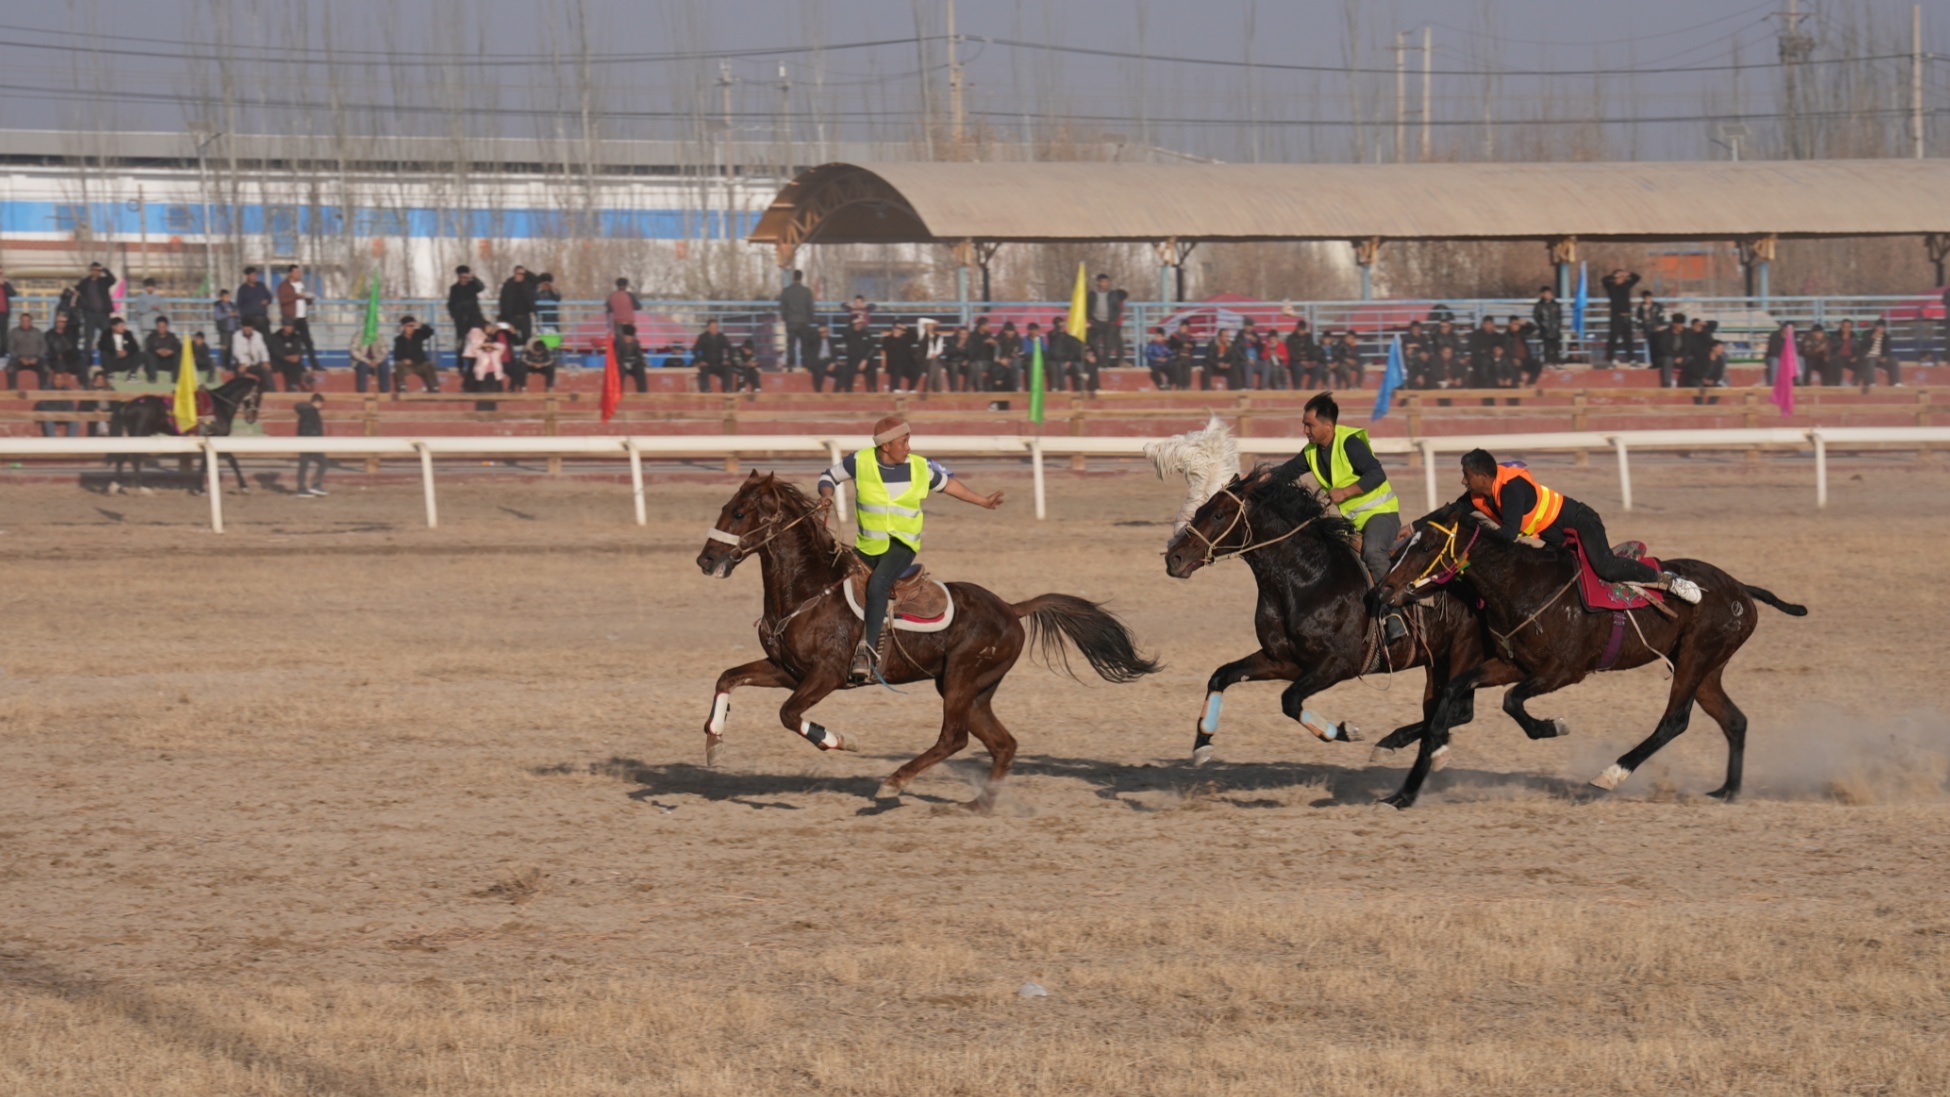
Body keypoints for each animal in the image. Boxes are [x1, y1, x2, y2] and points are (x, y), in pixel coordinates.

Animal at [106, 378, 261, 498]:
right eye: (258, 395)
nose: (252, 418)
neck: (219, 406)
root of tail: (127, 404)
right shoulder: (216, 437)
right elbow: (229, 461)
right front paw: (243, 487)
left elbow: (213, 462)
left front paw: (199, 489)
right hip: (139, 434)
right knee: (135, 458)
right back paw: (143, 488)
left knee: (124, 456)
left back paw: (115, 485)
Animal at [694, 471, 1154, 814]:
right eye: (723, 508)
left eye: (740, 512)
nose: (705, 559)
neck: (809, 590)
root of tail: (1010, 607)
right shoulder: (787, 671)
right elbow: (727, 678)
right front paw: (714, 742)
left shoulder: (825, 675)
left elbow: (789, 715)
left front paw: (838, 740)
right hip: (974, 689)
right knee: (1002, 744)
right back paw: (977, 805)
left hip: (961, 680)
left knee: (954, 738)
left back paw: (893, 782)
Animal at [1162, 469, 1528, 771]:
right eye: (1200, 510)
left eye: (1219, 514)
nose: (1174, 558)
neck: (1308, 579)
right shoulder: (1282, 661)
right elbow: (1221, 676)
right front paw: (1201, 744)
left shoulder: (1338, 664)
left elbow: (1290, 700)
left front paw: (1343, 731)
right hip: (1435, 660)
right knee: (1441, 709)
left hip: (1463, 653)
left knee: (1458, 710)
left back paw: (1394, 744)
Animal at [1380, 502, 1801, 810]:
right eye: (1405, 543)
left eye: (1425, 547)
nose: (1383, 589)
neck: (1523, 586)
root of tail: (1740, 590)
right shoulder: (1512, 664)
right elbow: (1456, 690)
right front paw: (1424, 763)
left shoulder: (1565, 670)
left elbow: (1511, 701)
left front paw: (1552, 726)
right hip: (1708, 668)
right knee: (1734, 720)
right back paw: (1727, 790)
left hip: (1695, 657)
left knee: (1674, 721)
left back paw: (1610, 775)